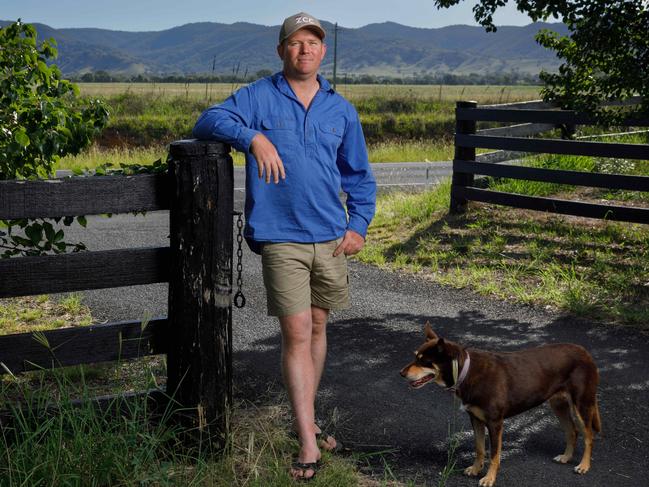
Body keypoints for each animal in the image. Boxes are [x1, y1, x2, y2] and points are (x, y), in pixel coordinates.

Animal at [400, 324, 604, 487]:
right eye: (415, 357)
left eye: (424, 361)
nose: (401, 373)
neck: (466, 371)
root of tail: (585, 352)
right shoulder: (476, 419)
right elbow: (480, 449)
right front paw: (475, 469)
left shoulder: (495, 423)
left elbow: (494, 455)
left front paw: (489, 478)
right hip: (558, 404)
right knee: (572, 431)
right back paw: (566, 457)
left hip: (582, 404)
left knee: (589, 436)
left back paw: (584, 465)